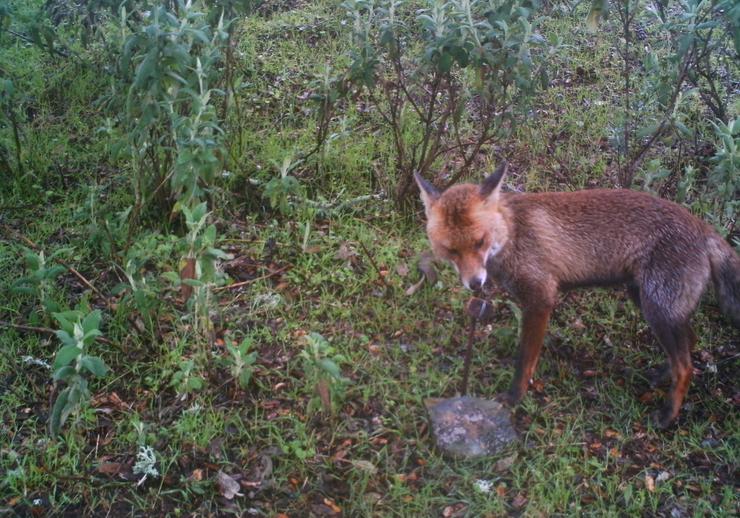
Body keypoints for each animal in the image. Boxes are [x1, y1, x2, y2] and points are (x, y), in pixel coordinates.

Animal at [416, 164, 740, 430]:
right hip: (648, 300)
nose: (475, 283)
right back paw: (661, 375)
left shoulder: (541, 298)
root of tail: (704, 228)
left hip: (658, 309)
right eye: (451, 250)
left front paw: (514, 397)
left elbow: (524, 360)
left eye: (480, 242)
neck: (512, 234)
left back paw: (667, 415)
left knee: (686, 367)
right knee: (689, 344)